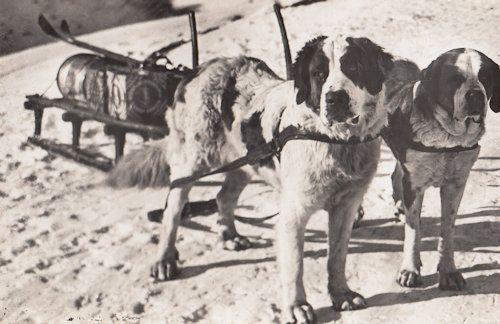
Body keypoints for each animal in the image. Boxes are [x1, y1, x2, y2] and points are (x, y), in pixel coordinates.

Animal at [108, 36, 394, 324]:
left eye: (353, 67)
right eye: (318, 74)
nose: (335, 98)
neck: (336, 140)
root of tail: (197, 69)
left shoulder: (346, 206)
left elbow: (336, 256)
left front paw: (341, 294)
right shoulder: (294, 213)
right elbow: (295, 265)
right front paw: (297, 306)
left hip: (244, 163)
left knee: (223, 197)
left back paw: (229, 236)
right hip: (192, 161)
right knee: (172, 211)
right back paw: (164, 260)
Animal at [380, 50, 498, 288]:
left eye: (485, 76)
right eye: (454, 79)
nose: (475, 95)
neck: (447, 139)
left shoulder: (455, 185)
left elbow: (448, 229)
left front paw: (448, 270)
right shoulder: (414, 185)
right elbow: (413, 231)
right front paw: (410, 269)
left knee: (396, 173)